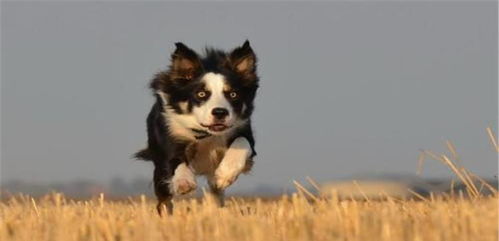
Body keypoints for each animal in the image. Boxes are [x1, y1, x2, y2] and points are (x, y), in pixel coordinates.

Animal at [136, 40, 260, 214]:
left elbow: (242, 142)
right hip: (159, 172)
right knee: (164, 201)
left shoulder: (242, 129)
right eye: (201, 94)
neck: (206, 133)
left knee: (215, 194)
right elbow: (176, 161)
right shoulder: (171, 135)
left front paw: (224, 174)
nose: (220, 112)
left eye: (233, 94)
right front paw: (184, 182)